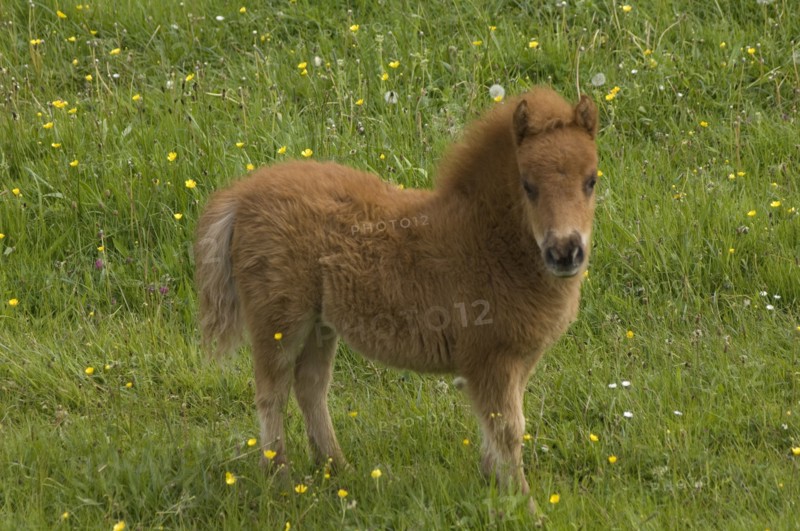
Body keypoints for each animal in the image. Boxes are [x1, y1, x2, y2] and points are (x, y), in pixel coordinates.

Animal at [194, 86, 599, 509]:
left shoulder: (517, 361)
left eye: (591, 180)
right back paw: (281, 480)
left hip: (320, 324)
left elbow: (499, 427)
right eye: (528, 185)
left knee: (310, 385)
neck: (486, 240)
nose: (565, 252)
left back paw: (337, 468)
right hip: (280, 320)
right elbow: (509, 429)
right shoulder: (491, 359)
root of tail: (242, 196)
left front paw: (492, 483)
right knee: (271, 391)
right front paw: (524, 505)